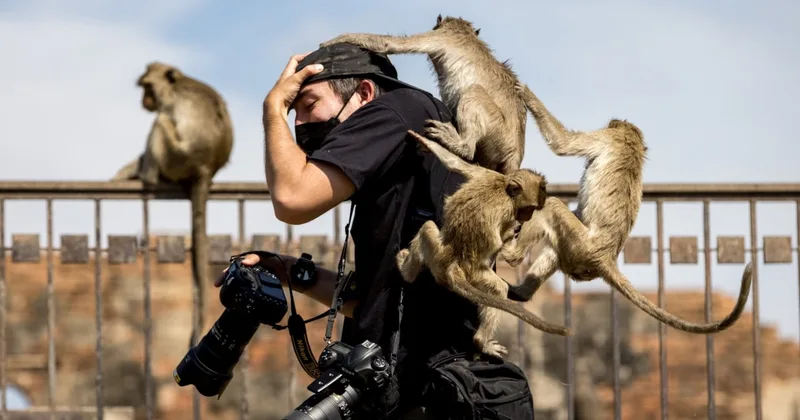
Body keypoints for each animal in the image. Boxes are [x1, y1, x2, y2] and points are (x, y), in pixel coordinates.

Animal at [111, 62, 234, 347]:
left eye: (147, 87)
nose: (144, 100)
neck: (177, 84)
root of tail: (206, 169)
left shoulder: (169, 105)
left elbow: (162, 120)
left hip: (176, 157)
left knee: (160, 123)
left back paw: (148, 176)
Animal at [319, 14, 528, 175]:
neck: (464, 32)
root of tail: (515, 152)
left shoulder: (442, 36)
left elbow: (390, 44)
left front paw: (335, 40)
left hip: (497, 131)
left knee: (474, 92)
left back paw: (462, 146)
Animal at [395, 130, 570, 359]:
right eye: (529, 208)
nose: (527, 217)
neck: (504, 189)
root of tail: (452, 267)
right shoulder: (506, 209)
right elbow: (503, 249)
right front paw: (511, 238)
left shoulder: (487, 175)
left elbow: (456, 164)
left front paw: (428, 143)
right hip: (471, 273)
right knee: (496, 288)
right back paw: (481, 342)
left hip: (436, 254)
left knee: (427, 229)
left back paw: (406, 272)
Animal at [496, 81, 752, 335]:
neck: (632, 143)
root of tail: (605, 258)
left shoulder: (606, 138)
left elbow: (563, 143)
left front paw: (527, 93)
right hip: (578, 253)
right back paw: (521, 293)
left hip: (582, 245)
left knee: (552, 206)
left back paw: (511, 254)